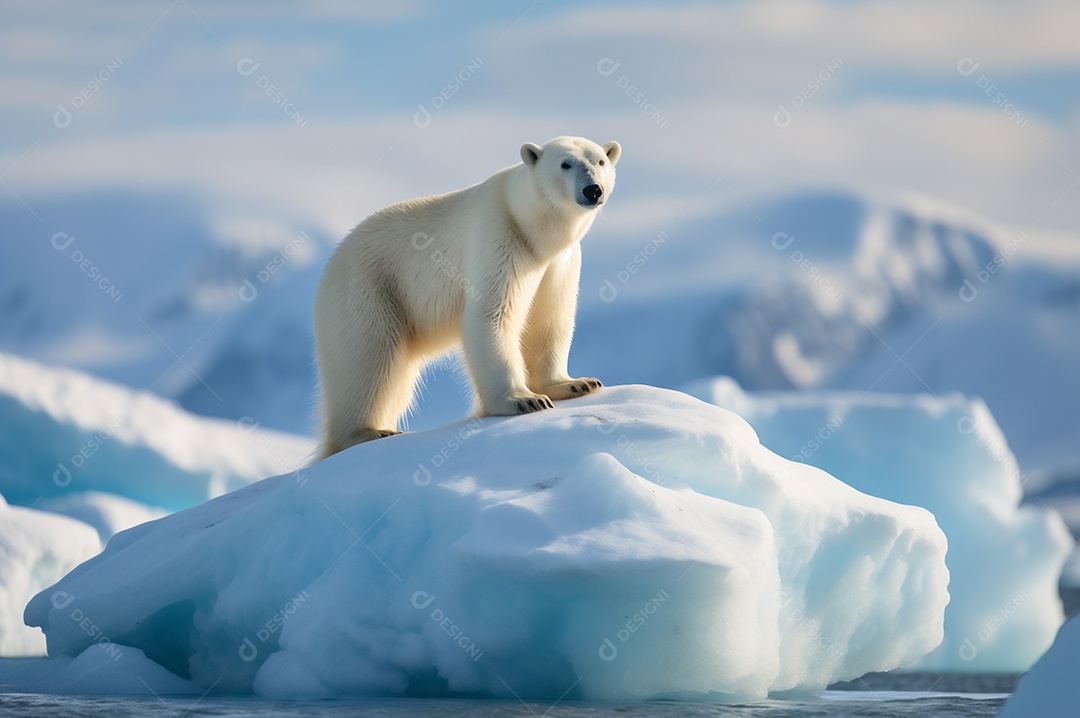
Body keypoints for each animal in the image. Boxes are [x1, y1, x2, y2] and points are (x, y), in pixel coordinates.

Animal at [313, 135, 621, 458]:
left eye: (600, 161)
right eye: (565, 164)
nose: (593, 190)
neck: (532, 228)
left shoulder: (559, 263)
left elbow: (550, 319)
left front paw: (576, 384)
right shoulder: (500, 239)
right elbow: (492, 314)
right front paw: (523, 400)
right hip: (368, 290)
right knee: (369, 361)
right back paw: (367, 432)